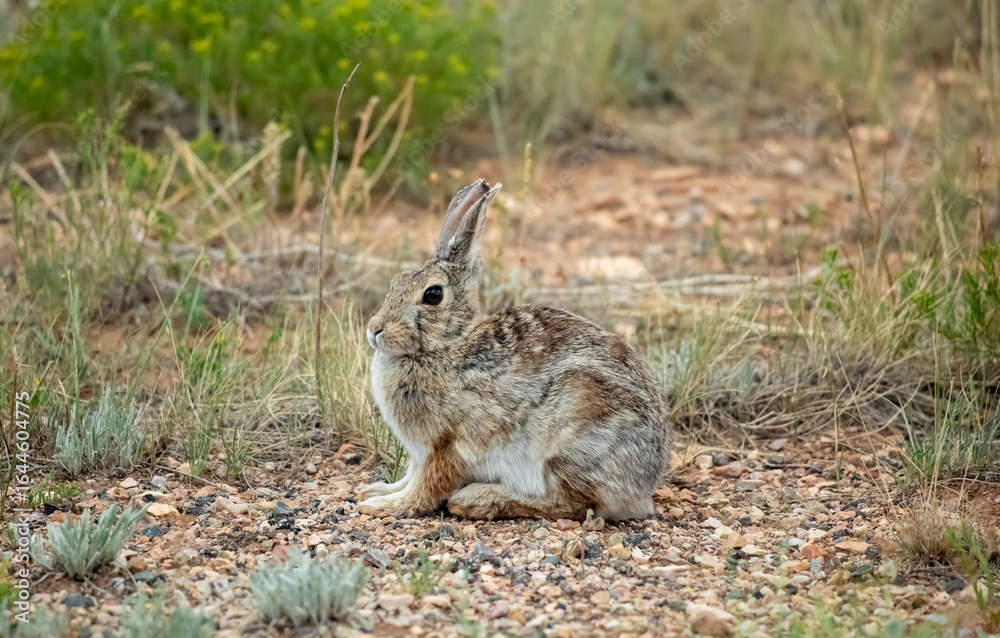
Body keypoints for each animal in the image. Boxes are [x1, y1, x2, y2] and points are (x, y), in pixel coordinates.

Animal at [359, 178, 671, 521]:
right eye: (396, 281)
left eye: (433, 294)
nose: (375, 329)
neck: (449, 344)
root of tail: (643, 483)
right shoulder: (420, 453)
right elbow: (411, 476)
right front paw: (377, 491)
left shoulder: (448, 444)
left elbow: (427, 485)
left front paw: (384, 506)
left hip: (568, 433)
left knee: (570, 503)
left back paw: (477, 499)